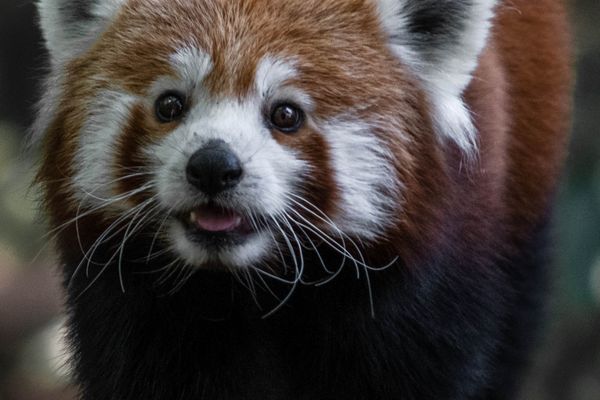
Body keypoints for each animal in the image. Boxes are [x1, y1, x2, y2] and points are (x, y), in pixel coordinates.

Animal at [34, 0, 572, 398]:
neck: (248, 287)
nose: (213, 166)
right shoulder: (134, 304)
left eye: (285, 114)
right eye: (170, 105)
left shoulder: (428, 291)